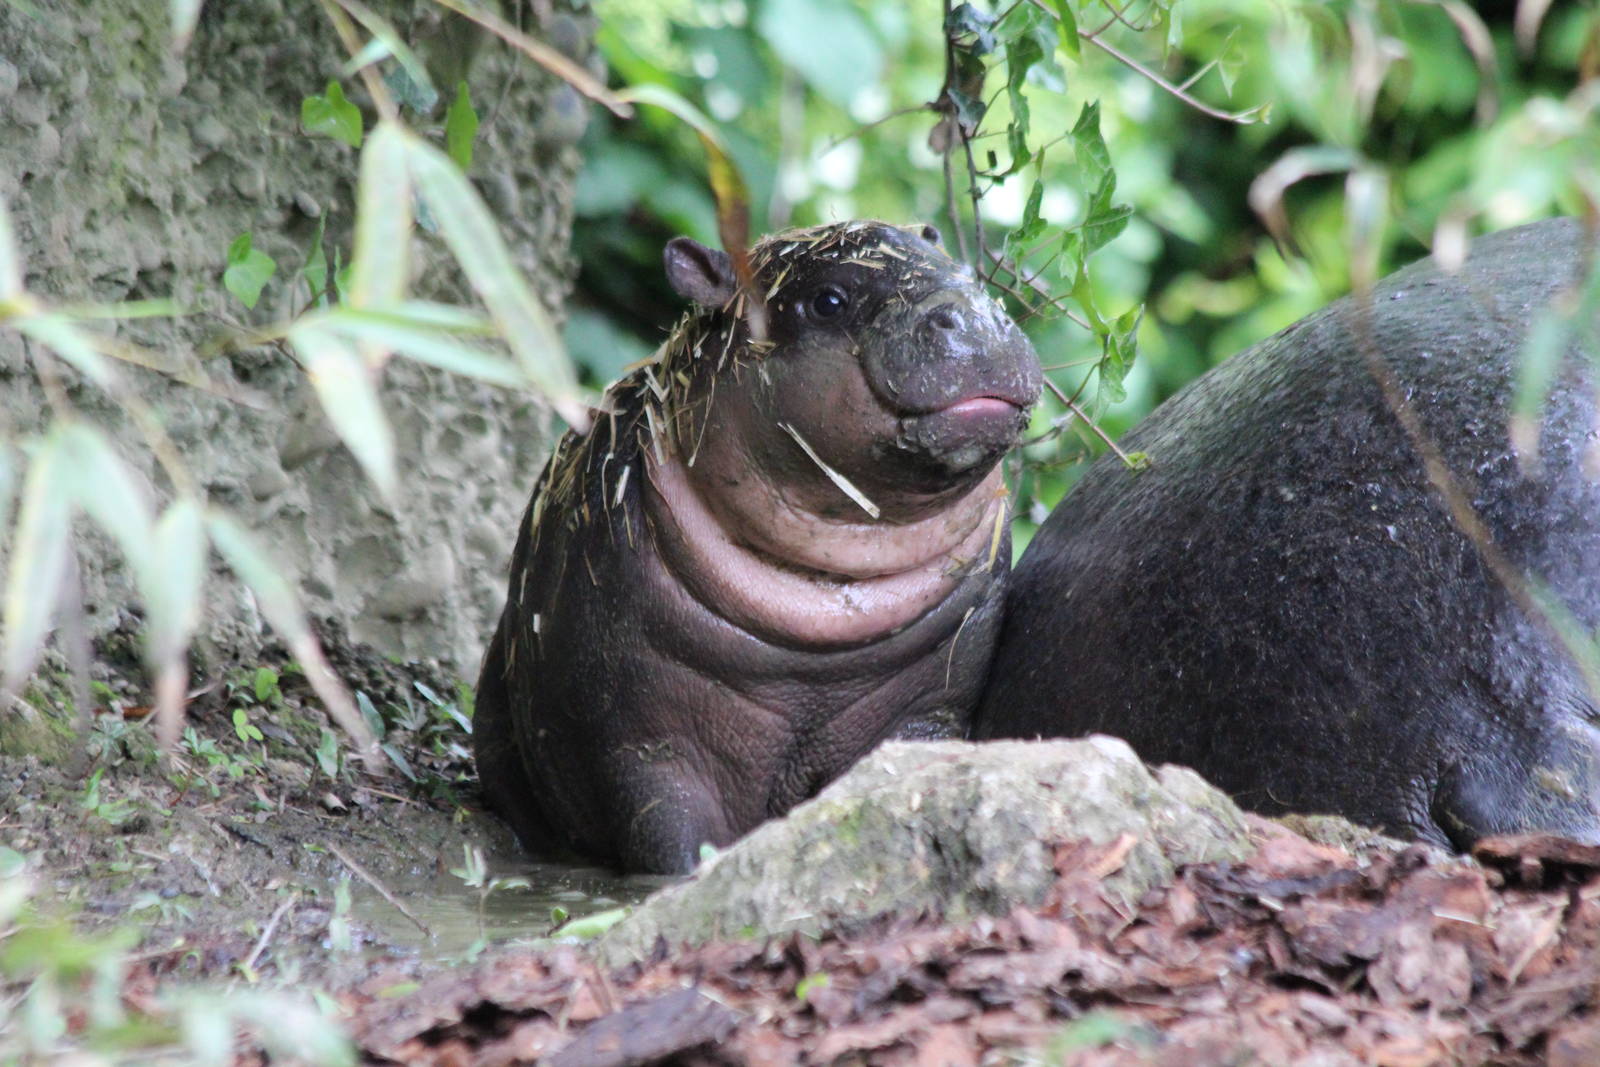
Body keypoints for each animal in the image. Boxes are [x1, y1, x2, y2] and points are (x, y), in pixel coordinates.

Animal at [475, 220, 1042, 873]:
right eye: (827, 300)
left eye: (958, 263)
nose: (976, 315)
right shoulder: (636, 739)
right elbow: (669, 837)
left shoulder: (929, 710)